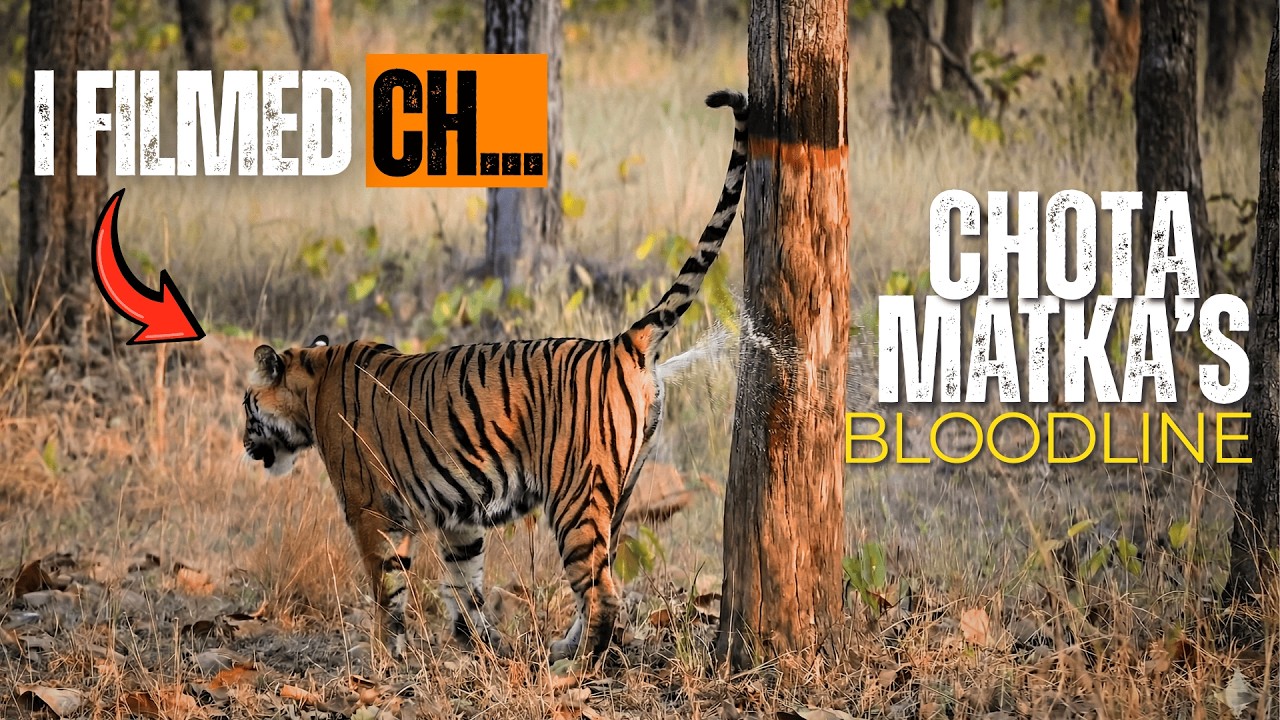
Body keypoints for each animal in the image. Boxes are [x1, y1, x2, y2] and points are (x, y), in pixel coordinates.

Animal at [242, 90, 748, 662]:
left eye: (246, 407)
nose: (244, 443)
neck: (312, 380)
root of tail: (621, 342)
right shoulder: (459, 516)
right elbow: (465, 584)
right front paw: (480, 644)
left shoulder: (372, 510)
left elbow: (387, 588)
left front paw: (385, 657)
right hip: (620, 490)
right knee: (604, 573)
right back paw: (563, 649)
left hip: (576, 494)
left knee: (602, 592)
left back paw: (575, 668)